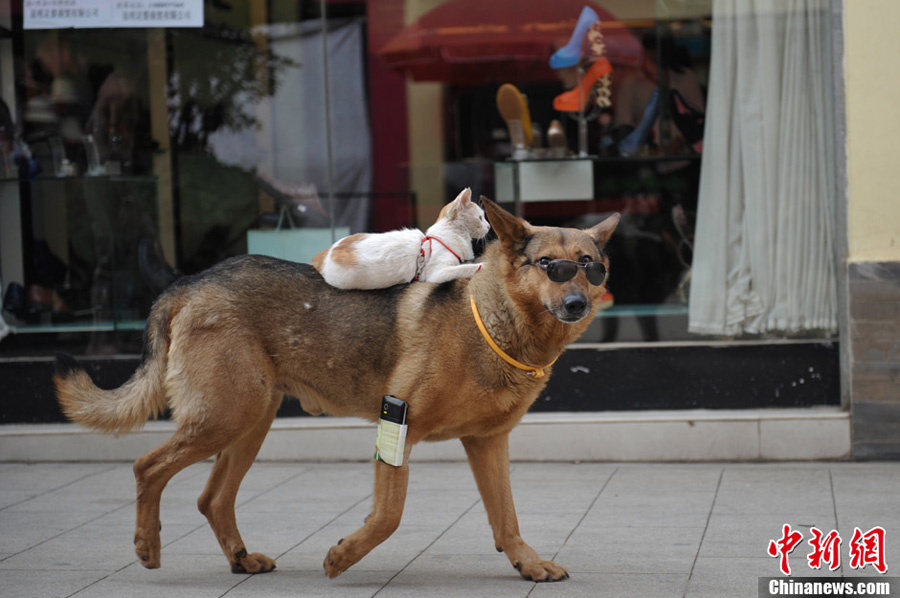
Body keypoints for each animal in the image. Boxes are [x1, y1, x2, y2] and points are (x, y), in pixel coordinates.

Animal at [312, 189, 492, 290]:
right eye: (481, 218)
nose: (489, 226)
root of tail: (324, 254)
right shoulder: (437, 273)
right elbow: (465, 268)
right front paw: (483, 265)